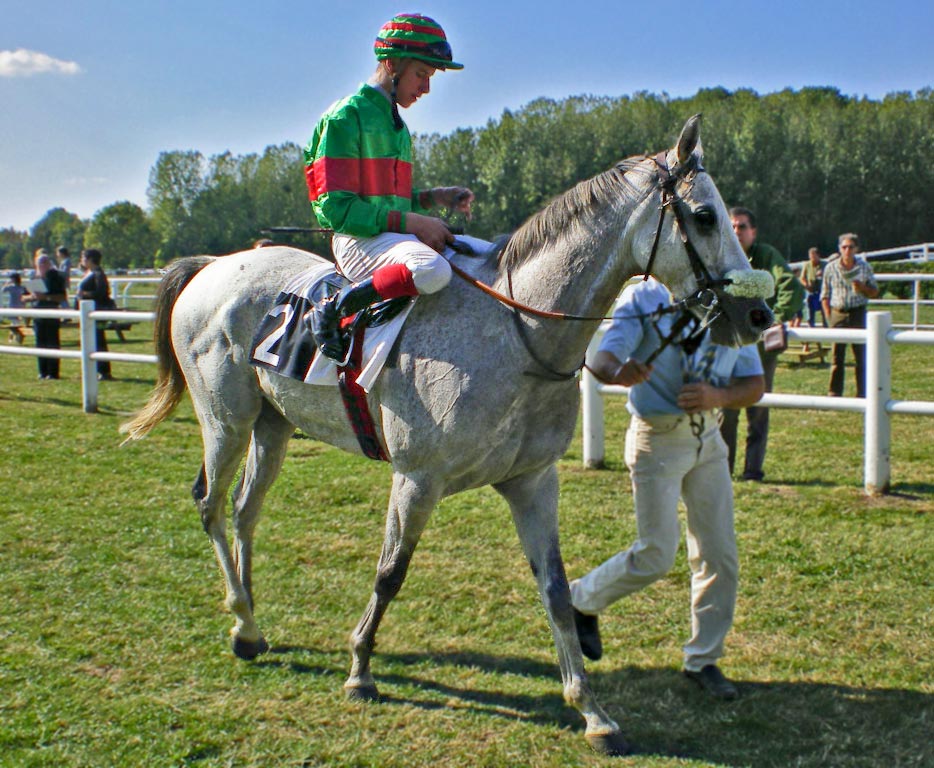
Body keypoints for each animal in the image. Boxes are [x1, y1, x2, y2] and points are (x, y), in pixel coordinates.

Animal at [120, 115, 772, 756]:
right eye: (705, 215)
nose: (758, 315)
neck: (517, 331)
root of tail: (209, 266)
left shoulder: (533, 481)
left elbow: (557, 589)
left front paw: (592, 710)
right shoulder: (417, 478)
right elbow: (390, 572)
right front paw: (360, 669)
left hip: (272, 425)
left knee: (244, 510)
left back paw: (251, 623)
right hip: (225, 421)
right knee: (210, 504)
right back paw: (243, 619)